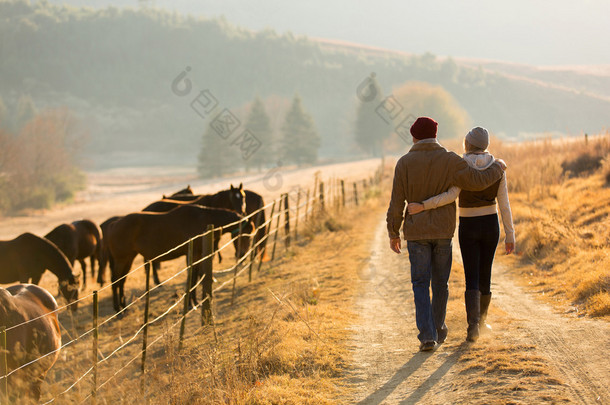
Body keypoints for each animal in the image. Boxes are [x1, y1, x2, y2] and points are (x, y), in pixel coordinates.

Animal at [105, 205, 251, 312]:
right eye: (246, 232)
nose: (243, 253)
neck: (202, 219)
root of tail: (114, 224)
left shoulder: (198, 255)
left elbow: (194, 277)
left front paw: (195, 302)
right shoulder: (192, 255)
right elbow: (192, 277)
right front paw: (191, 304)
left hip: (128, 258)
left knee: (121, 281)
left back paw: (123, 308)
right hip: (121, 259)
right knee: (115, 281)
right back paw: (118, 309)